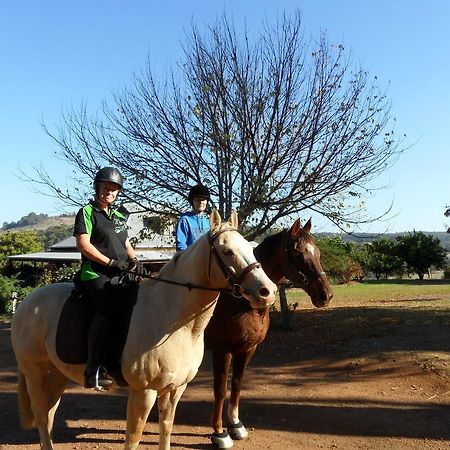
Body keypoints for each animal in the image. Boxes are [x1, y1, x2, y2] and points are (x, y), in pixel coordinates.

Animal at [11, 211, 278, 450]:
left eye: (250, 249)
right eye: (227, 251)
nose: (268, 291)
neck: (174, 320)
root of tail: (26, 303)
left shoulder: (174, 390)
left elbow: (166, 430)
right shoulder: (144, 391)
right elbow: (134, 439)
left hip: (58, 373)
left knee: (48, 414)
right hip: (35, 372)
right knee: (41, 413)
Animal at [205, 217, 334, 446]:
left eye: (317, 252)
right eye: (298, 253)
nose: (325, 295)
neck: (241, 302)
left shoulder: (247, 349)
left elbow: (237, 384)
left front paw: (236, 425)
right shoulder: (222, 350)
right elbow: (220, 390)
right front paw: (219, 433)